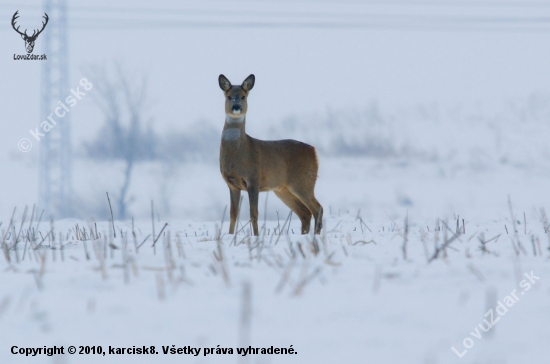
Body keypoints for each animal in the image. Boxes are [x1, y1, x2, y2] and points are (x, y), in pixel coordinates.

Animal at [219, 75, 326, 237]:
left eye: (243, 96)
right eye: (229, 96)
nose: (236, 107)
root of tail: (314, 152)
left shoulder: (254, 179)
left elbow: (254, 213)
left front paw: (256, 236)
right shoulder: (231, 184)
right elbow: (233, 214)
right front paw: (231, 236)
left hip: (304, 181)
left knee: (317, 209)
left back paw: (315, 237)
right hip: (283, 189)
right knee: (305, 213)